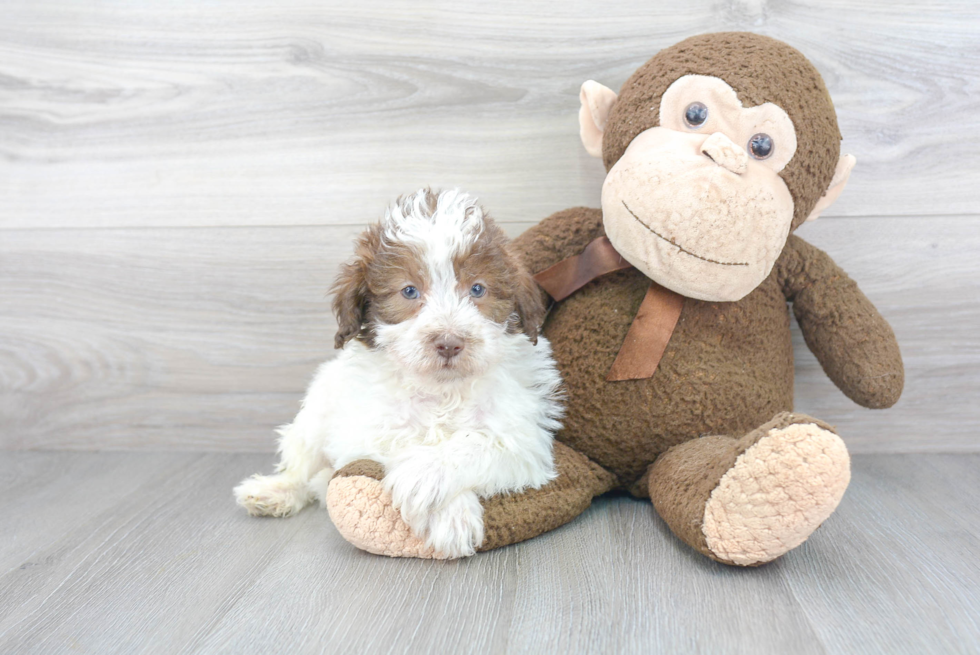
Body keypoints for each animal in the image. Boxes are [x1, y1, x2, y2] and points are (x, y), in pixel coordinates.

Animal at [233, 186, 564, 560]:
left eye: (478, 289)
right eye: (409, 291)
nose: (449, 343)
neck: (441, 391)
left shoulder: (524, 438)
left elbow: (480, 443)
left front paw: (427, 475)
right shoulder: (364, 429)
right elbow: (395, 443)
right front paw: (451, 512)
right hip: (316, 414)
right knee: (303, 465)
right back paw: (276, 491)